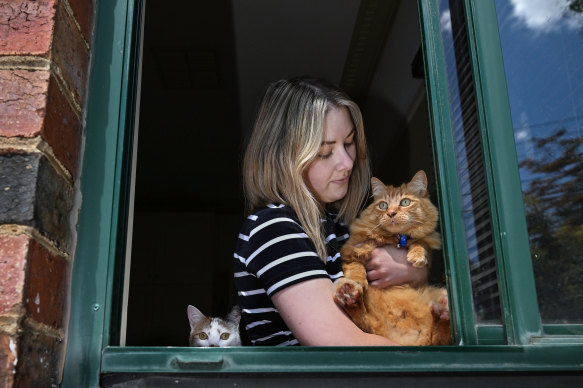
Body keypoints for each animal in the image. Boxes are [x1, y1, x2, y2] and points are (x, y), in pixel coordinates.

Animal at [334, 171, 452, 346]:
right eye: (383, 205)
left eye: (405, 202)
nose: (390, 213)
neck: (394, 239)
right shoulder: (348, 251)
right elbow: (355, 264)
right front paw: (359, 280)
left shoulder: (426, 244)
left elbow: (421, 242)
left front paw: (417, 255)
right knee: (364, 322)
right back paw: (349, 295)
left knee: (438, 337)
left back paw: (443, 312)